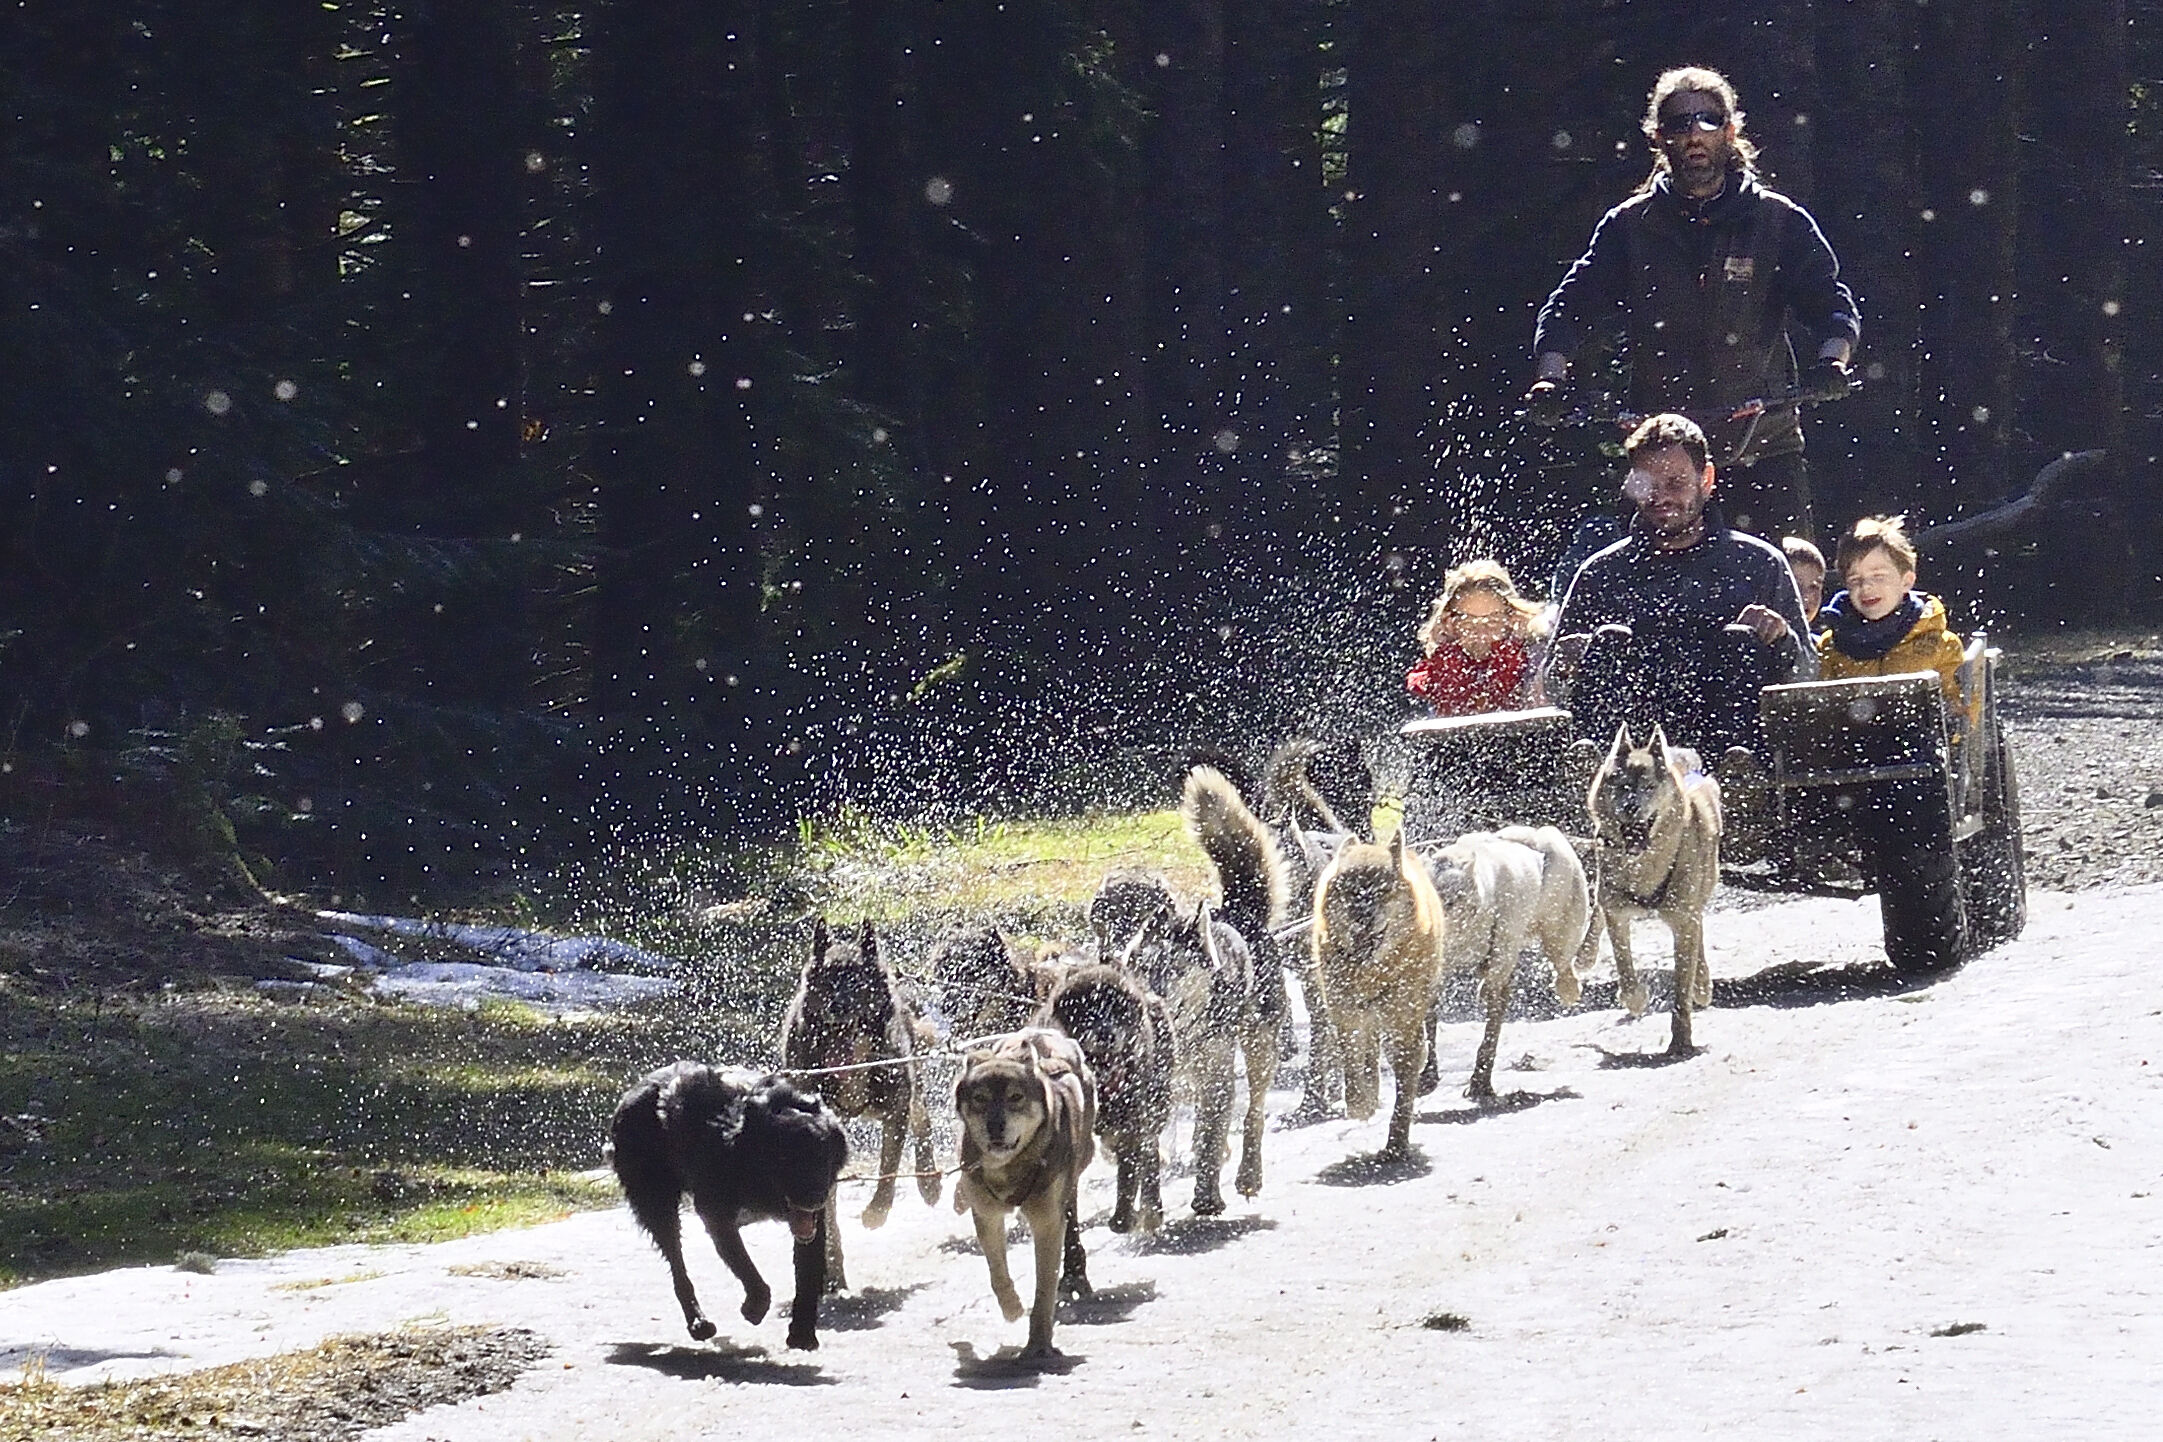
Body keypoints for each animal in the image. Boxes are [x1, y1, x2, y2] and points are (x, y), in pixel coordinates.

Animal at [614, 1059, 847, 1357]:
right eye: (787, 1159)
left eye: (822, 1157)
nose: (816, 1196)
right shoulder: (714, 1211)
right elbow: (745, 1266)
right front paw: (754, 1307)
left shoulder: (810, 1219)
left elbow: (806, 1273)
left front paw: (802, 1333)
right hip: (656, 1201)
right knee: (677, 1264)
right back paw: (698, 1323)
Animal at [956, 1033, 1098, 1357]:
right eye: (980, 1098)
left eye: (1015, 1097)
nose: (995, 1126)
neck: (1011, 1167)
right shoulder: (986, 1215)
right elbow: (997, 1273)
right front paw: (1012, 1308)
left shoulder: (1047, 1222)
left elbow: (1044, 1288)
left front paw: (1038, 1343)